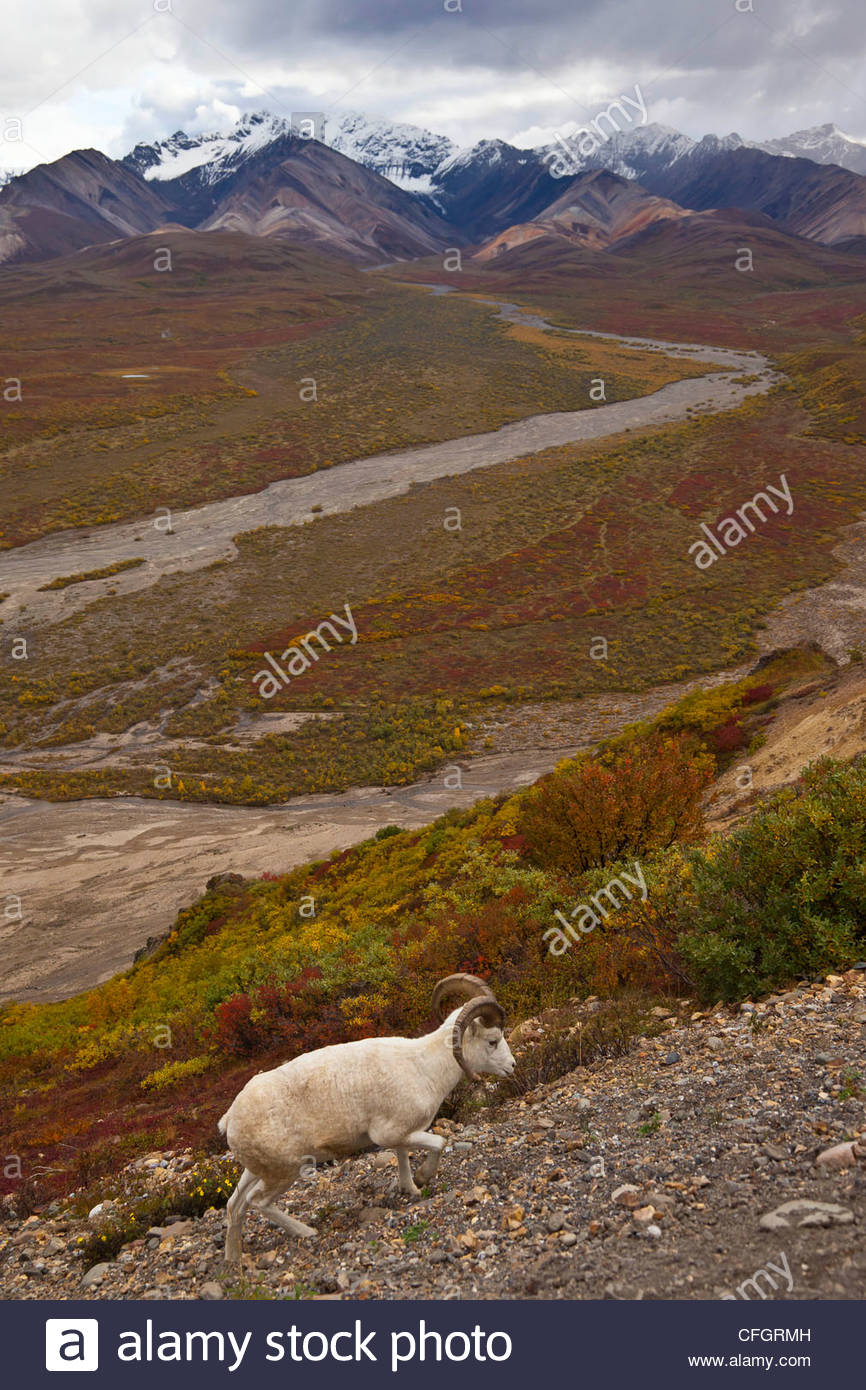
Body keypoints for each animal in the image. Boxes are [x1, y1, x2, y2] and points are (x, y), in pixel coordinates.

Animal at [218, 978, 514, 1262]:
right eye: (492, 1041)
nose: (512, 1067)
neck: (424, 1067)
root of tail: (230, 1120)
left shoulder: (403, 1134)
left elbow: (403, 1156)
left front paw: (412, 1189)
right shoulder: (390, 1133)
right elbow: (439, 1143)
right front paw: (423, 1177)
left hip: (256, 1171)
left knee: (235, 1206)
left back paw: (234, 1260)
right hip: (286, 1171)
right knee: (257, 1202)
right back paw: (307, 1232)